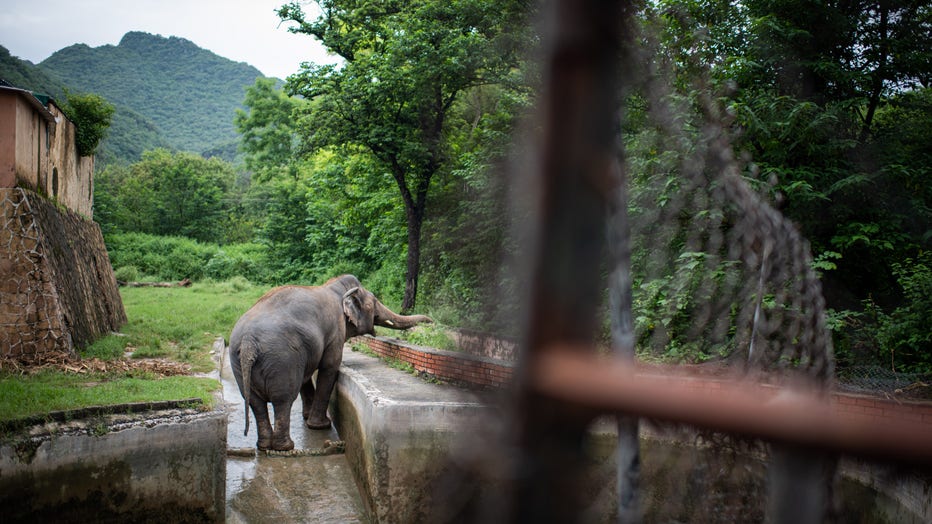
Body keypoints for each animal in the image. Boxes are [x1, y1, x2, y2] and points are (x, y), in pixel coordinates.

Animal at [229, 274, 432, 451]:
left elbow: (306, 376)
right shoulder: (336, 331)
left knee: (254, 402)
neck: (336, 288)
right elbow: (330, 367)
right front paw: (321, 426)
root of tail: (248, 341)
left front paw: (307, 417)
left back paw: (263, 446)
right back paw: (285, 447)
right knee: (282, 399)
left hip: (239, 362)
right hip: (282, 359)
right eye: (372, 303)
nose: (430, 322)